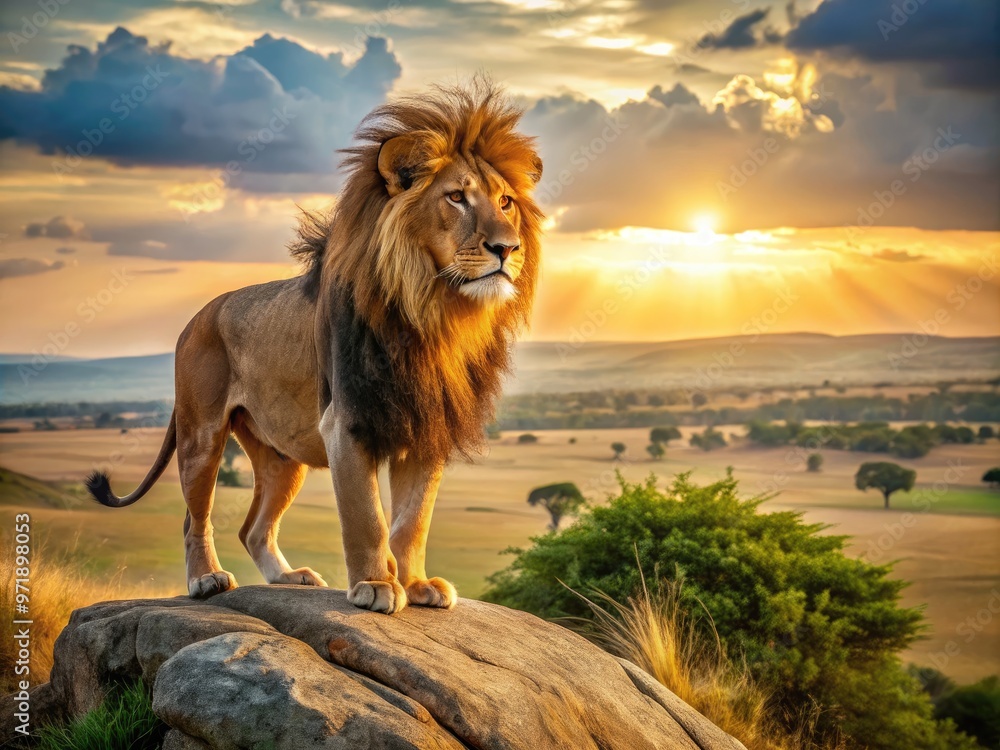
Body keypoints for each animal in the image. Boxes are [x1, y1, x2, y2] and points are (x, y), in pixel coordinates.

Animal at [86, 81, 543, 614]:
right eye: (456, 198)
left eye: (506, 201)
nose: (508, 249)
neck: (435, 313)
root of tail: (197, 317)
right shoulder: (346, 422)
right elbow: (368, 518)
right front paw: (376, 586)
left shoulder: (427, 424)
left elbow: (413, 521)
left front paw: (417, 584)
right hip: (202, 434)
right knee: (193, 518)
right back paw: (206, 580)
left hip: (283, 458)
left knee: (254, 528)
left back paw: (289, 578)